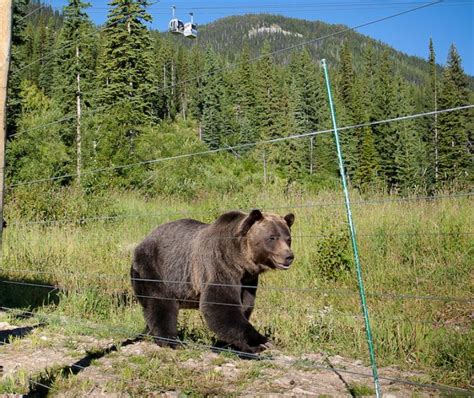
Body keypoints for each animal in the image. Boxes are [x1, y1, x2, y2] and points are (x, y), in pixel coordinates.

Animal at [130, 210, 292, 352]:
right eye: (272, 237)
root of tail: (141, 243)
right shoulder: (219, 264)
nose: (289, 256)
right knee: (160, 303)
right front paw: (260, 341)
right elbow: (220, 305)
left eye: (288, 238)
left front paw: (235, 344)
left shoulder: (248, 280)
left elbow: (245, 305)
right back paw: (170, 341)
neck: (240, 259)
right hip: (155, 269)